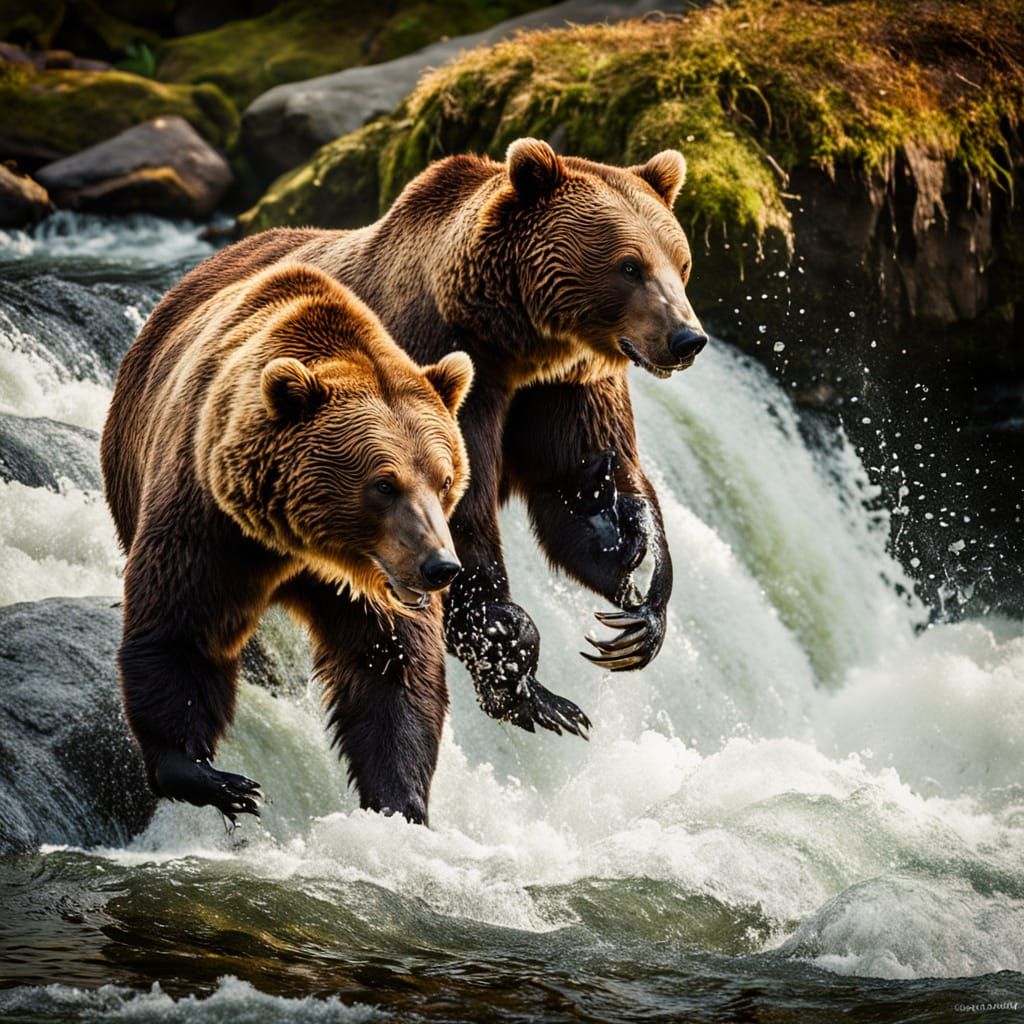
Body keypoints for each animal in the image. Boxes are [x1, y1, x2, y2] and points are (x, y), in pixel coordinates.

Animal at [101, 260, 474, 825]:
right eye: (384, 484)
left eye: (444, 478)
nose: (440, 567)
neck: (305, 545)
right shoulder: (211, 518)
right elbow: (182, 627)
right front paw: (213, 777)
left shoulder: (373, 586)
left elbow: (392, 664)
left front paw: (399, 802)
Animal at [137, 137, 706, 762]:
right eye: (629, 266)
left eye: (681, 265)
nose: (687, 338)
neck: (514, 342)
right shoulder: (441, 383)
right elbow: (458, 525)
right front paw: (523, 672)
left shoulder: (564, 387)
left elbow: (582, 487)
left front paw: (639, 592)